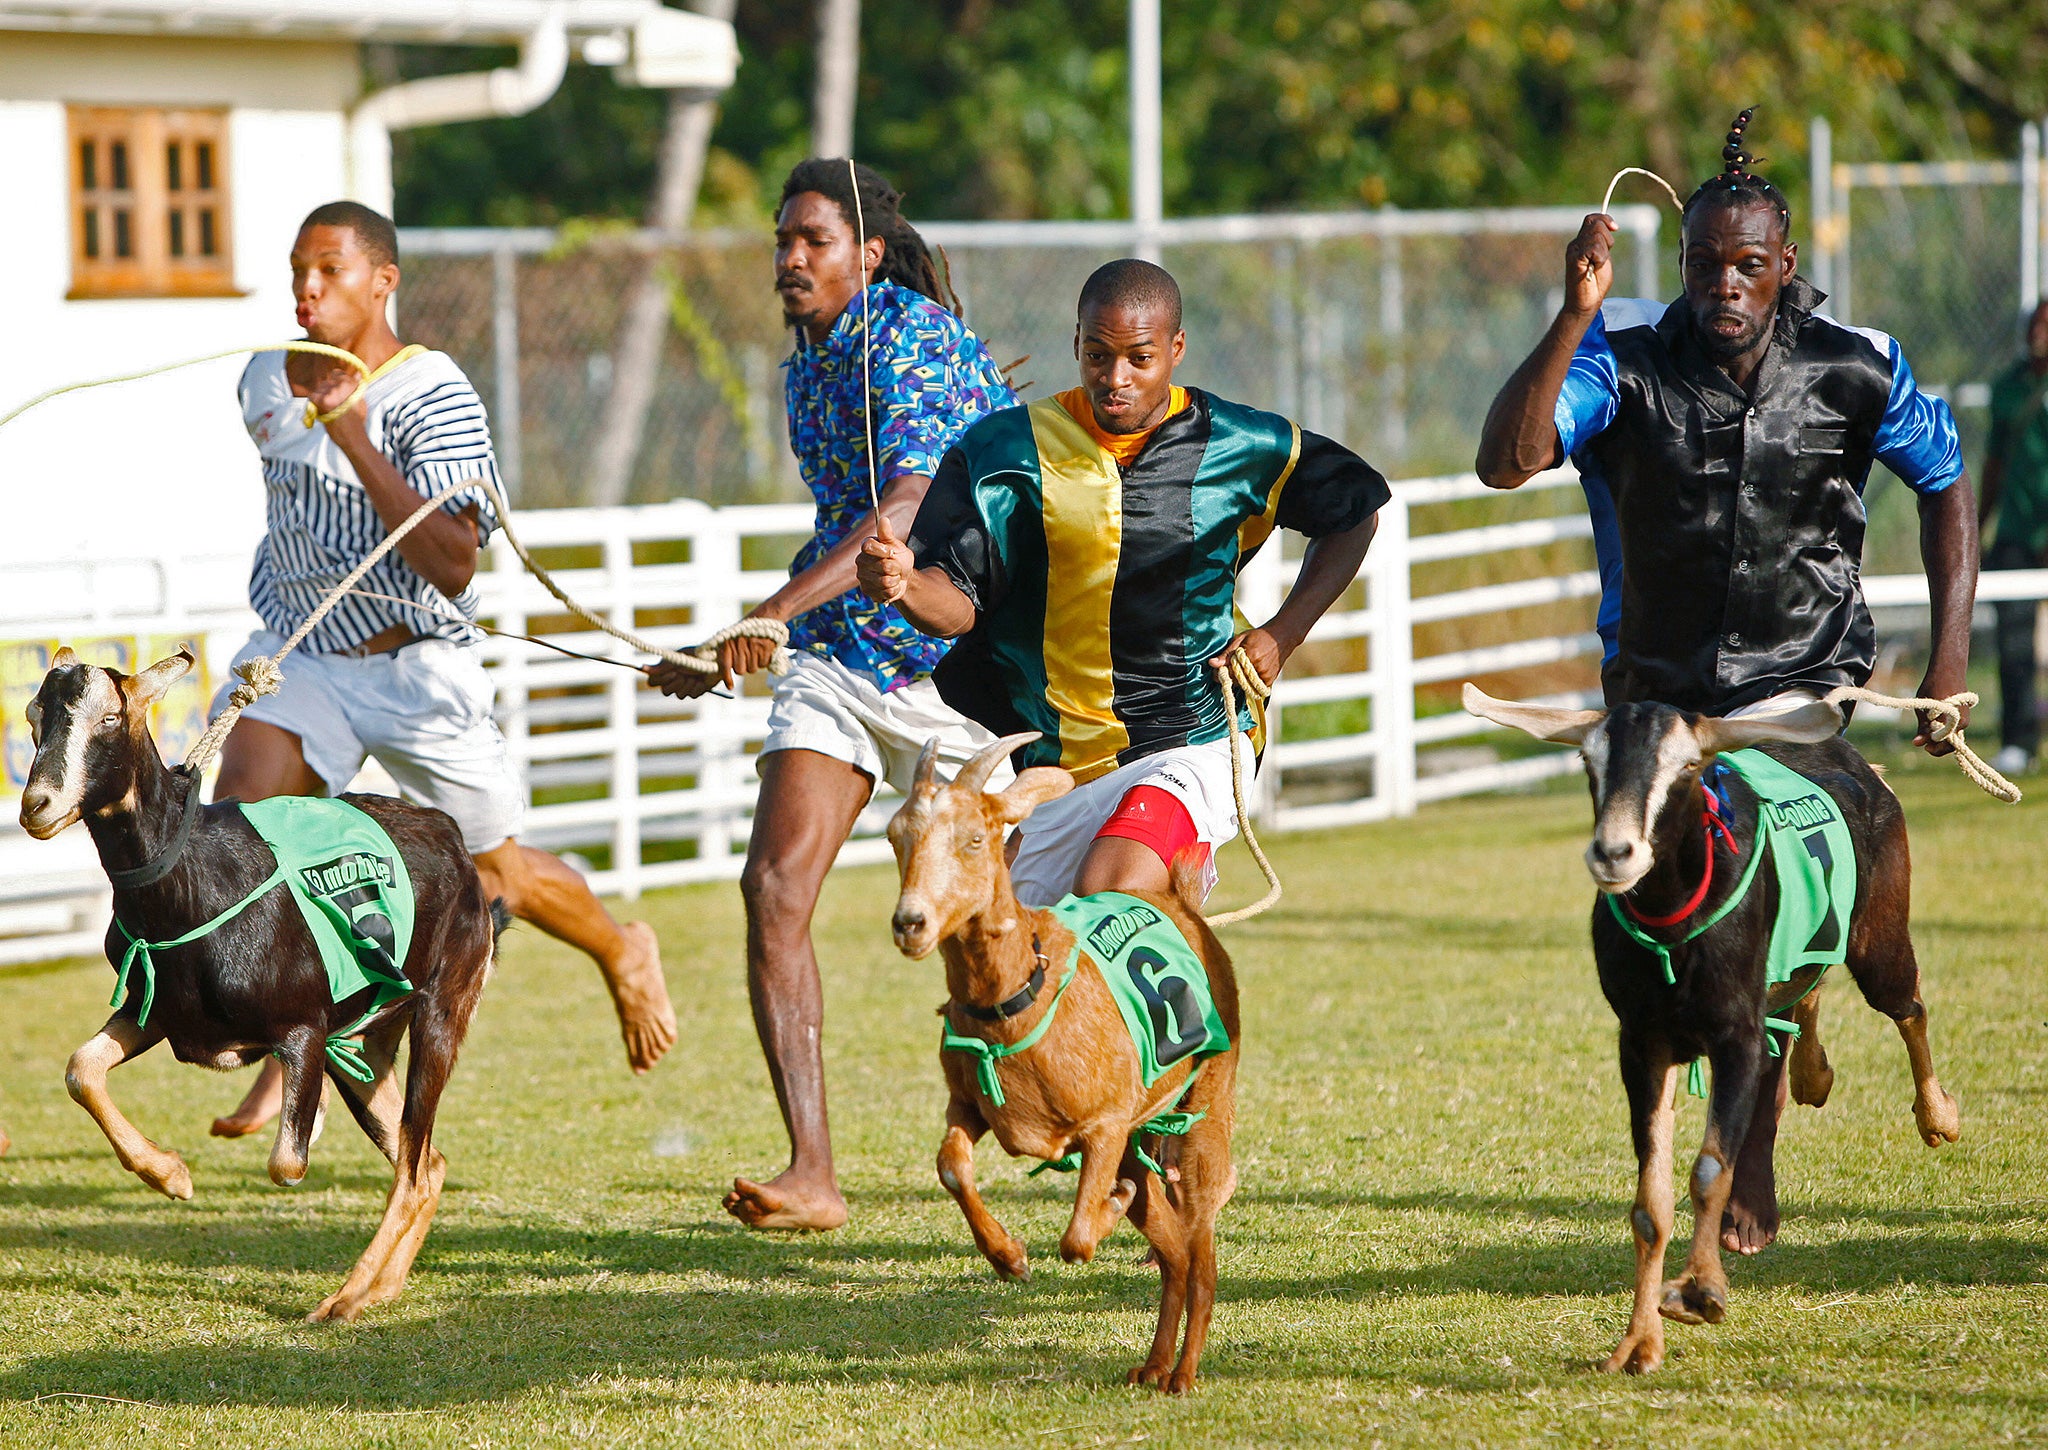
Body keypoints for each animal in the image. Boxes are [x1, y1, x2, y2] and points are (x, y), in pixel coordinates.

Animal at [23, 647, 499, 1327]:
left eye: (110, 718)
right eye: (34, 716)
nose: (36, 805)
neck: (194, 879)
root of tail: (452, 838)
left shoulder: (304, 1029)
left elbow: (286, 1162)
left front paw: (295, 1128)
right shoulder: (157, 1012)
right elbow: (81, 1069)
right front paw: (171, 1176)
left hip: (441, 1009)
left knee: (412, 1166)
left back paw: (346, 1298)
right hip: (369, 1047)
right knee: (427, 1163)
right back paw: (380, 1288)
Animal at [888, 737, 1236, 1392]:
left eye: (976, 839)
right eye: (898, 836)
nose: (910, 923)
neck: (1020, 994)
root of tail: (1179, 902)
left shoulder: (1105, 1125)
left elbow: (1076, 1240)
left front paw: (1110, 1205)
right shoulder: (972, 1106)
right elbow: (951, 1164)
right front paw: (1008, 1257)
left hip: (1203, 1107)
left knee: (1198, 1247)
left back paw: (1183, 1373)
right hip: (1139, 1137)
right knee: (1175, 1255)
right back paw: (1154, 1366)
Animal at [1466, 684, 1957, 1376]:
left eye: (1687, 768)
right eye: (1589, 762)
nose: (1613, 854)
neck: (1675, 924)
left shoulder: (1735, 1038)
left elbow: (1708, 1169)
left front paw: (1699, 1292)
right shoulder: (1641, 1043)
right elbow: (1650, 1204)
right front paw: (1638, 1344)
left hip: (1879, 929)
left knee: (1905, 1004)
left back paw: (1936, 1115)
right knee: (1804, 989)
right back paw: (1814, 1074)